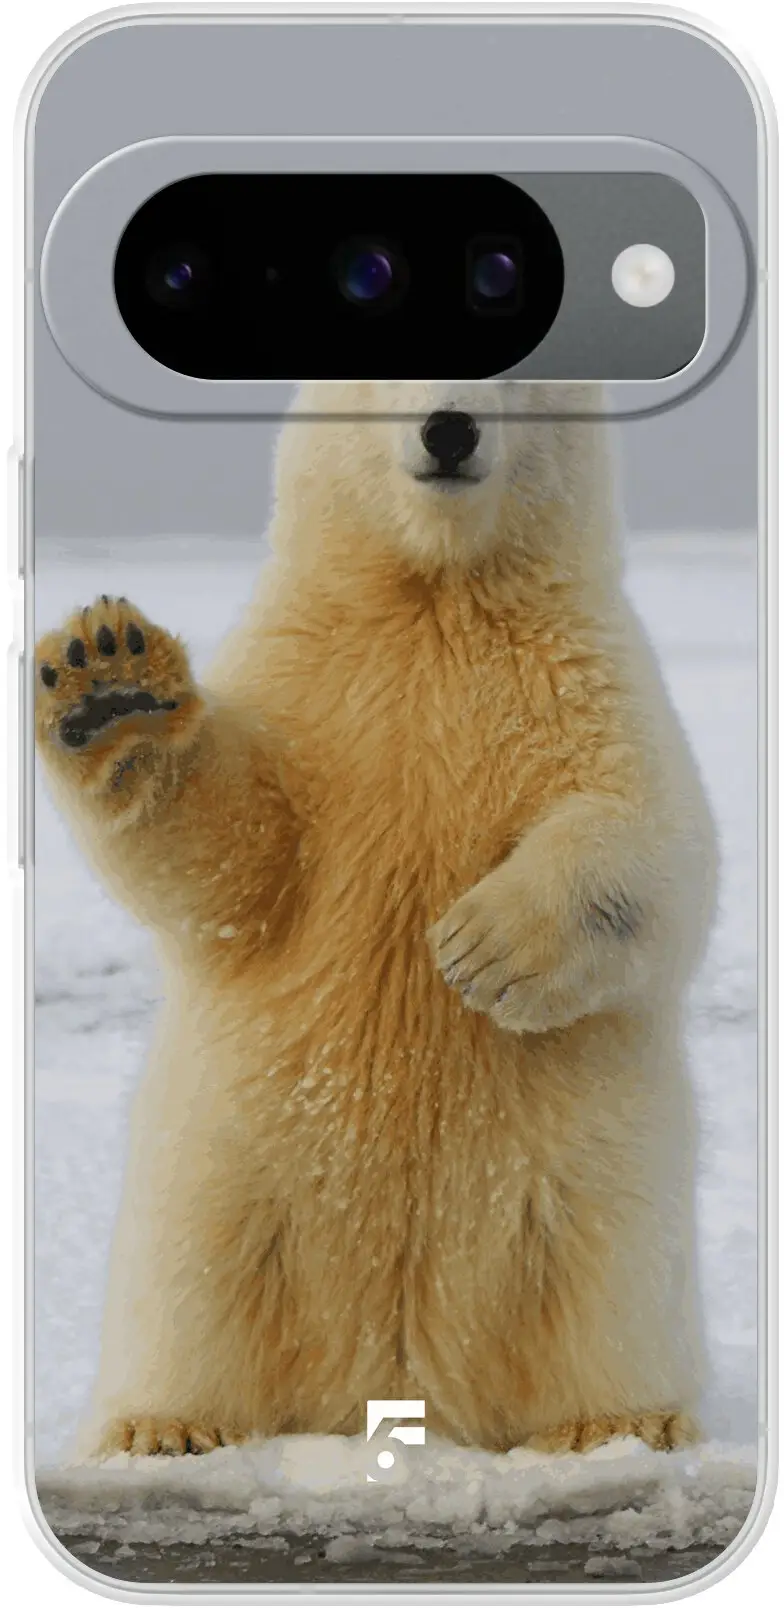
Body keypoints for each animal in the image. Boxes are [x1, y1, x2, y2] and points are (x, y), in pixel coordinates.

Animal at [35, 381, 717, 1460]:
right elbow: (235, 858)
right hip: (218, 1172)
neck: (432, 595)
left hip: (597, 1185)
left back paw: (614, 1422)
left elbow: (655, 837)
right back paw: (162, 1426)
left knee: (605, 1280)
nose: (449, 428)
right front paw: (110, 680)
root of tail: (397, 1383)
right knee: (195, 1286)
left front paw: (480, 948)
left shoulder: (585, 676)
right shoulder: (308, 680)